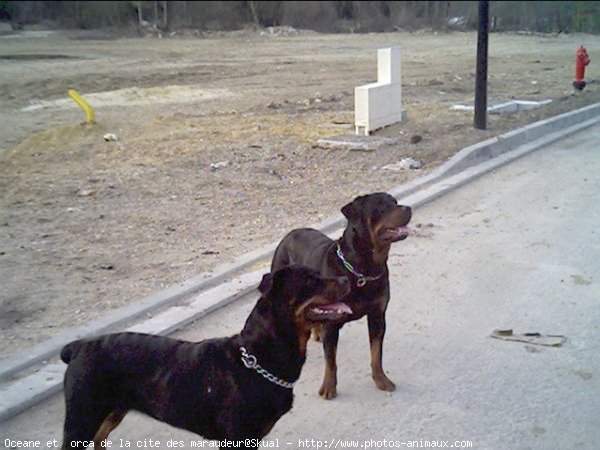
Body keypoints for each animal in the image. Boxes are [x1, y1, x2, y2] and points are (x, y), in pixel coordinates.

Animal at [59, 266, 352, 448]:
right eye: (310, 280)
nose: (346, 280)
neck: (257, 358)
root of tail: (77, 347)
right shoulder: (236, 440)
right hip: (81, 419)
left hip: (111, 412)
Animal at [274, 192, 410, 400]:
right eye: (380, 206)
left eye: (395, 202)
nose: (408, 208)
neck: (363, 269)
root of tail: (289, 234)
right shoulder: (332, 325)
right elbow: (331, 361)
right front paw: (329, 387)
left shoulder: (377, 316)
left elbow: (376, 354)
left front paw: (381, 380)